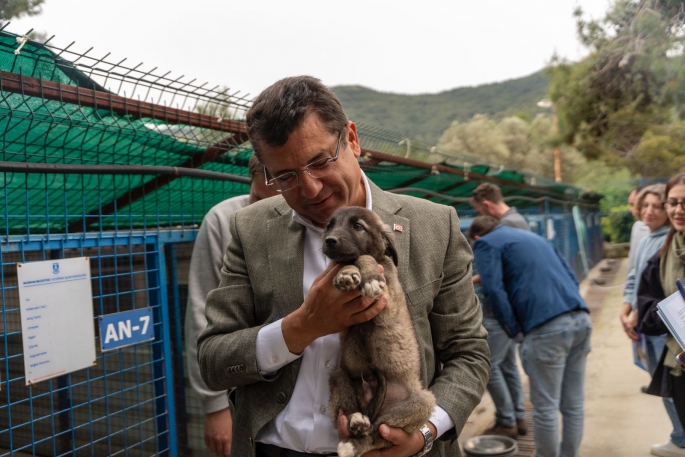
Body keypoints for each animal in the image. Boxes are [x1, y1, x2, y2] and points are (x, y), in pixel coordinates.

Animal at [322, 207, 432, 456]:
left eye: (358, 226)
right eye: (329, 225)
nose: (329, 240)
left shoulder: (387, 300)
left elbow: (365, 257)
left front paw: (368, 277)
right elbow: (346, 262)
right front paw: (346, 274)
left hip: (421, 402)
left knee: (377, 433)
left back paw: (354, 444)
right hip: (341, 376)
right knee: (354, 412)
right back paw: (356, 422)